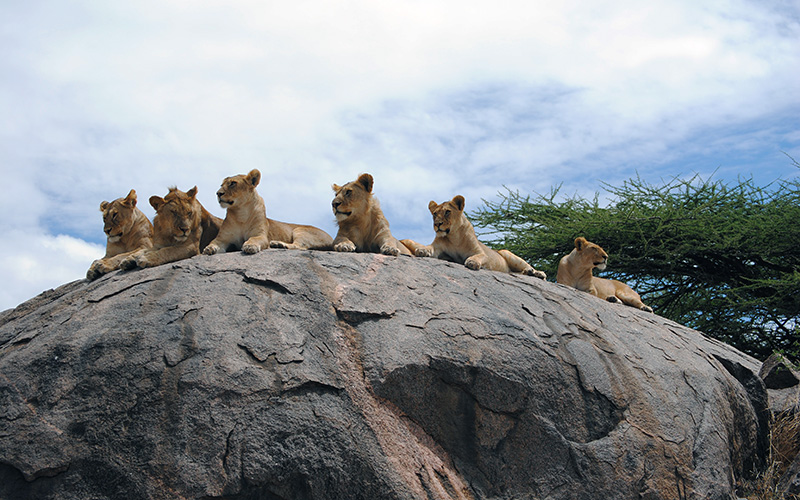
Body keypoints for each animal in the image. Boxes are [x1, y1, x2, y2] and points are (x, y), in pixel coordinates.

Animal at [203, 169, 333, 255]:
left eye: (233, 183)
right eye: (221, 185)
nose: (218, 193)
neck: (241, 213)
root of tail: (332, 239)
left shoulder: (260, 235)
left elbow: (254, 239)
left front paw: (250, 246)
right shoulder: (223, 238)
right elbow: (213, 242)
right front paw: (209, 248)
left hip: (300, 230)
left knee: (300, 246)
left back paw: (278, 244)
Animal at [401, 195, 547, 279]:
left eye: (447, 212)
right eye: (435, 214)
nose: (437, 224)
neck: (454, 237)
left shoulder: (481, 253)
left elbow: (478, 256)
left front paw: (472, 262)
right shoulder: (437, 248)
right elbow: (429, 249)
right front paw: (422, 250)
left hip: (507, 253)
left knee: (529, 267)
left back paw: (536, 272)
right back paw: (527, 273)